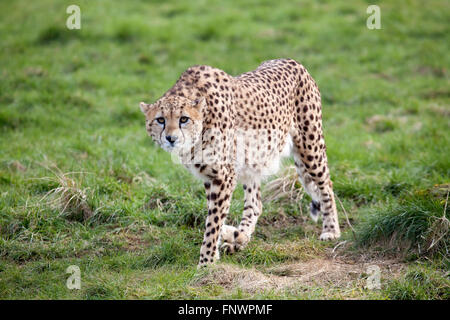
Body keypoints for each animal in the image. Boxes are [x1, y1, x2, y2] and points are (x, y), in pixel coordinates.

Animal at [139, 58, 340, 268]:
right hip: (252, 159)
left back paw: (331, 230)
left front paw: (206, 263)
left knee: (326, 184)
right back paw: (239, 237)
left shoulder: (223, 175)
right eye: (160, 120)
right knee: (256, 204)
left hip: (310, 147)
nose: (171, 138)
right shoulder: (210, 175)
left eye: (184, 119)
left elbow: (213, 222)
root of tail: (292, 61)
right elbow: (215, 216)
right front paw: (219, 249)